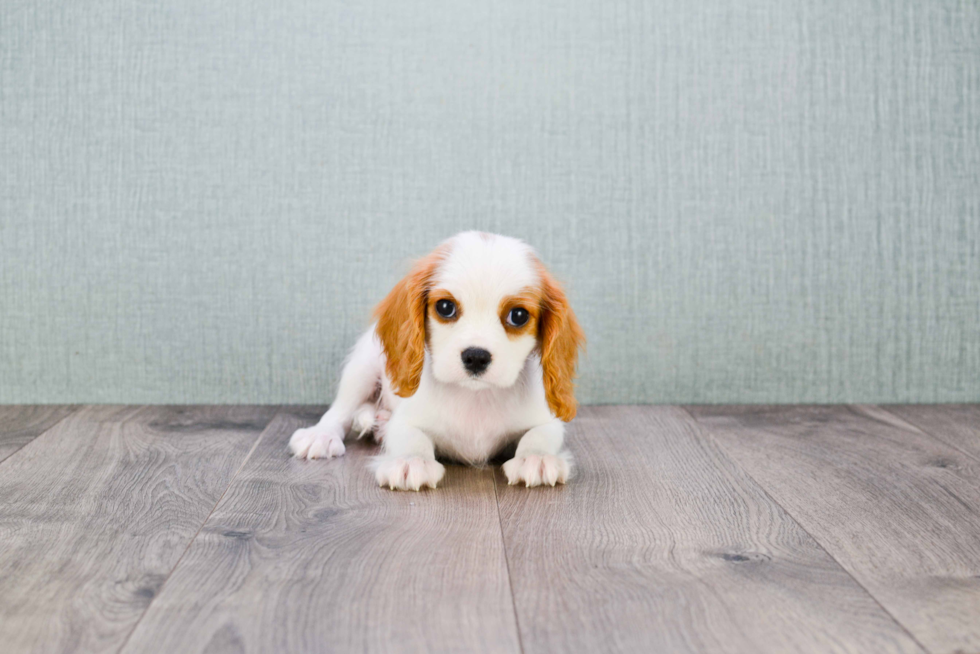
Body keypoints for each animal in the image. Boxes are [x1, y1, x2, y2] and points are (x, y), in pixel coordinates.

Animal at [288, 232, 584, 492]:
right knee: (341, 409)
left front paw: (536, 457)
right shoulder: (406, 419)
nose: (476, 356)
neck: (474, 396)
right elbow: (411, 436)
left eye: (519, 315)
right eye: (445, 307)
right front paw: (412, 461)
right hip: (362, 365)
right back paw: (322, 435)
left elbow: (541, 434)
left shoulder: (547, 420)